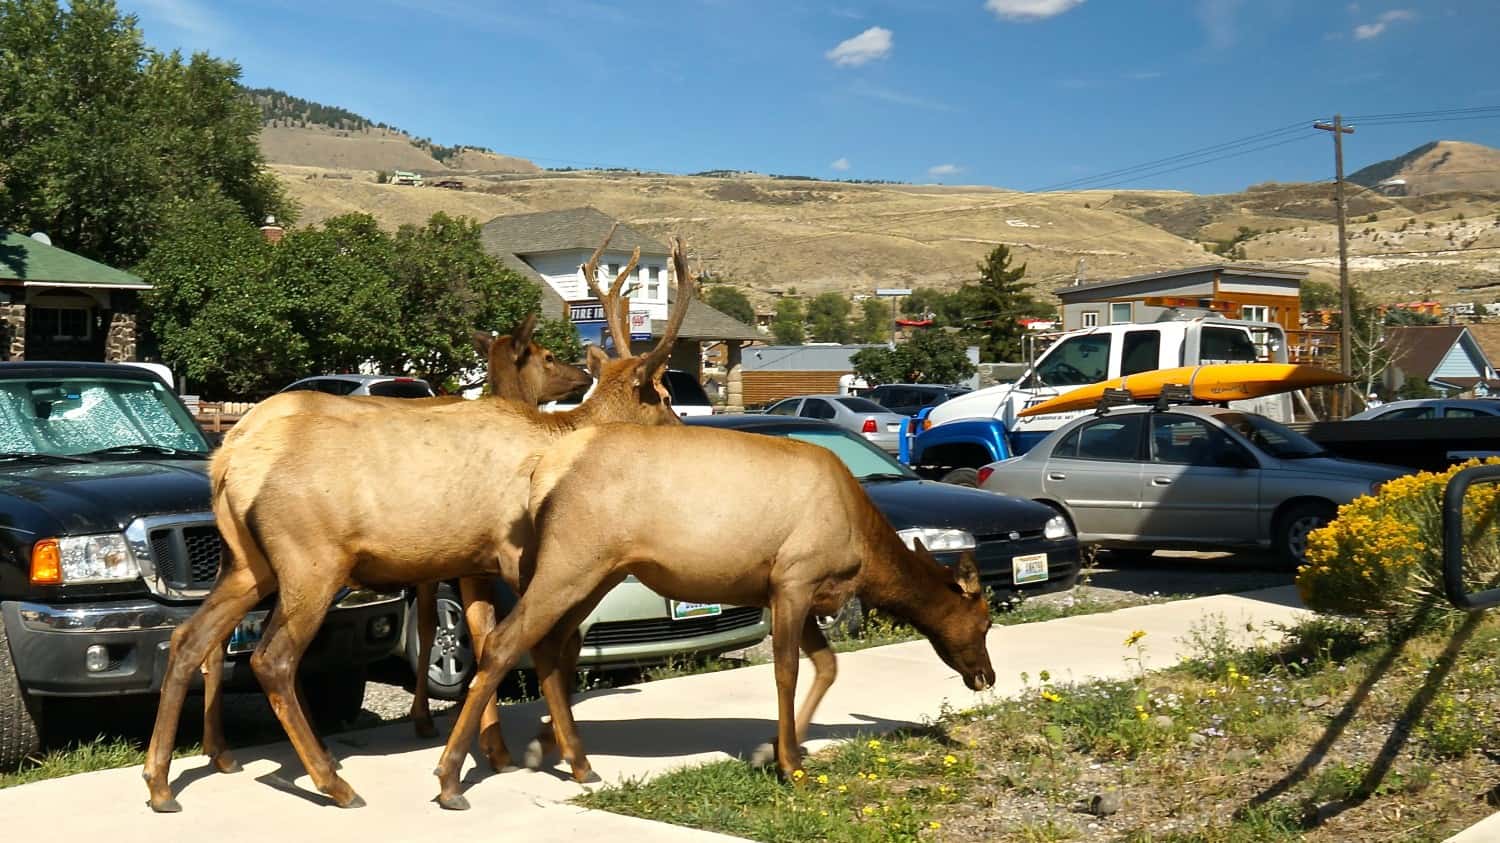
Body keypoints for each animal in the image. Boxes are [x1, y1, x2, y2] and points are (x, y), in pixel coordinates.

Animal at [143, 228, 693, 810]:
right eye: (662, 396)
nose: (686, 432)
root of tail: (226, 460)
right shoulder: (522, 555)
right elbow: (548, 647)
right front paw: (553, 752)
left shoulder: (478, 560)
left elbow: (497, 643)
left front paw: (504, 751)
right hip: (310, 560)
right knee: (270, 659)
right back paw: (333, 781)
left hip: (247, 564)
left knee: (190, 640)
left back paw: (162, 781)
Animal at [432, 426, 996, 810]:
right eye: (985, 621)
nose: (987, 676)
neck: (864, 551)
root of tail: (541, 471)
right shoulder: (793, 579)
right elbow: (787, 670)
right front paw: (788, 762)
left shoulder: (796, 591)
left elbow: (827, 665)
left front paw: (774, 749)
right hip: (571, 560)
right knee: (505, 642)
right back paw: (451, 779)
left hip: (599, 573)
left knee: (551, 645)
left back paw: (578, 762)